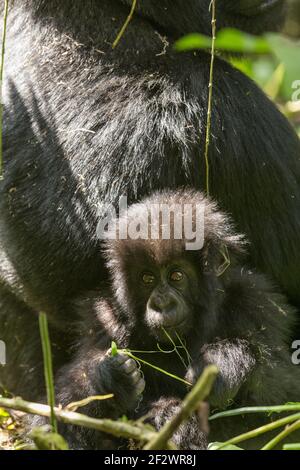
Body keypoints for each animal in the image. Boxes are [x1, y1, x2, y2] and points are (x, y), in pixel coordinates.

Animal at [55, 189, 300, 450]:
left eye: (176, 276)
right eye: (147, 278)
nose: (162, 304)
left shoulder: (257, 300)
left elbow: (284, 399)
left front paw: (225, 361)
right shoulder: (104, 316)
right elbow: (59, 413)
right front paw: (110, 379)